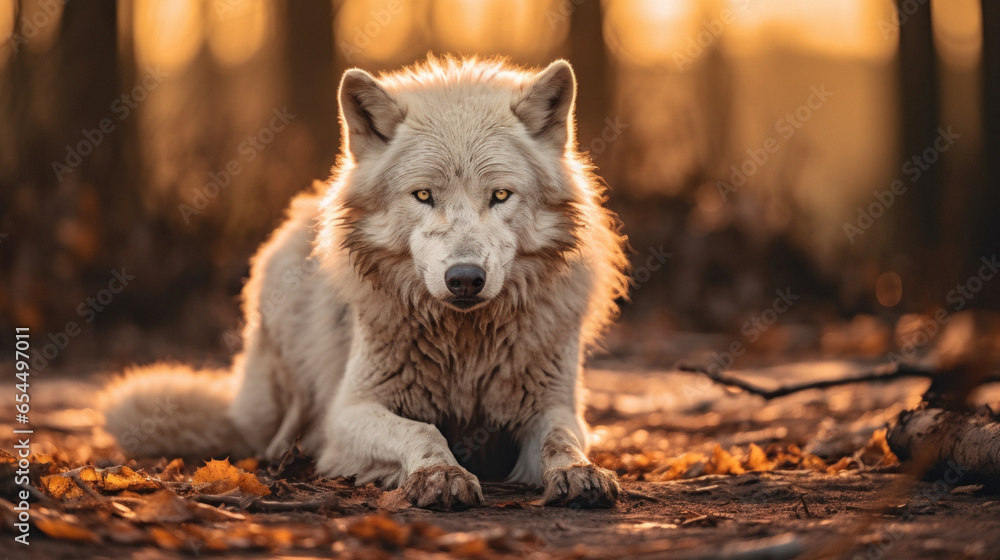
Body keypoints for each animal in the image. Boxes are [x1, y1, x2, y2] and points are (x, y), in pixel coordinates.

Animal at [102, 56, 630, 509]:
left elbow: (562, 440)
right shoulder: (348, 412)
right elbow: (423, 432)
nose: (464, 279)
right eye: (423, 195)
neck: (465, 348)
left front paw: (579, 473)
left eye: (500, 195)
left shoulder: (555, 405)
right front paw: (441, 474)